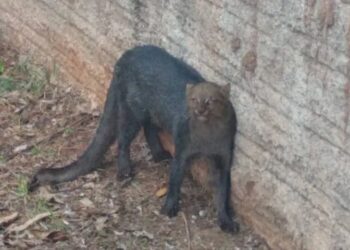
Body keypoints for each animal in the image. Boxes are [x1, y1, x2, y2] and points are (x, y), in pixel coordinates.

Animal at [28, 45, 239, 232]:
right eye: (193, 100)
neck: (207, 137)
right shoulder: (182, 152)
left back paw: (159, 155)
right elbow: (174, 181)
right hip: (132, 111)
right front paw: (169, 208)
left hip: (148, 112)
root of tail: (127, 54)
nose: (199, 110)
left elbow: (222, 192)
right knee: (123, 140)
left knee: (148, 129)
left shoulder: (224, 158)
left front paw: (226, 221)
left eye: (210, 101)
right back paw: (125, 170)